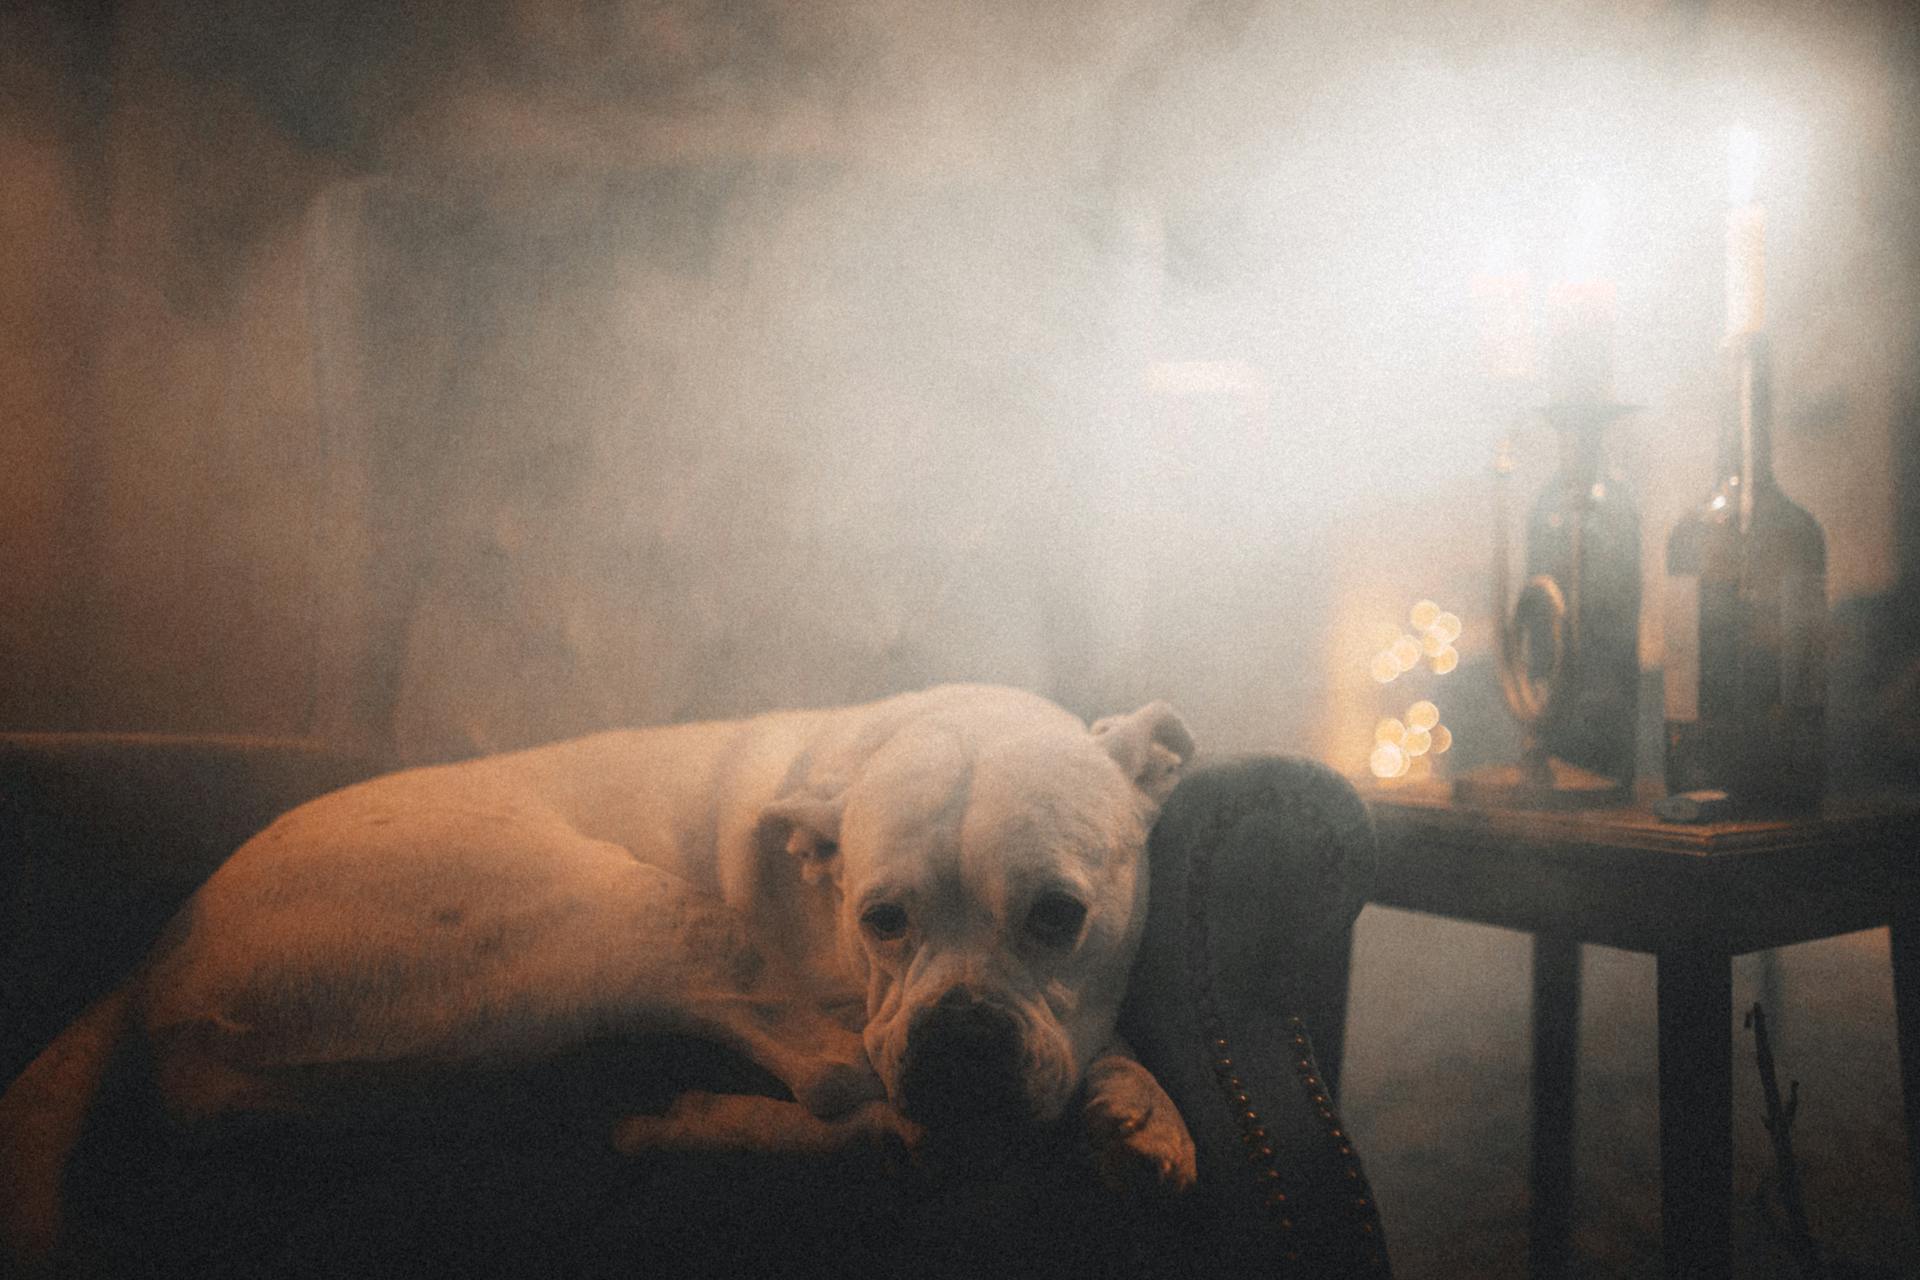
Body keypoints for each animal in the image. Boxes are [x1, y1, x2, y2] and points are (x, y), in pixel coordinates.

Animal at [0, 687, 1190, 1266]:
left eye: (1059, 916)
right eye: (879, 919)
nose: (959, 1040)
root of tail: (159, 966)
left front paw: (1139, 1101)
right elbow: (845, 1066)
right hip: (613, 908)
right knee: (833, 1092)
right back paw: (730, 1122)